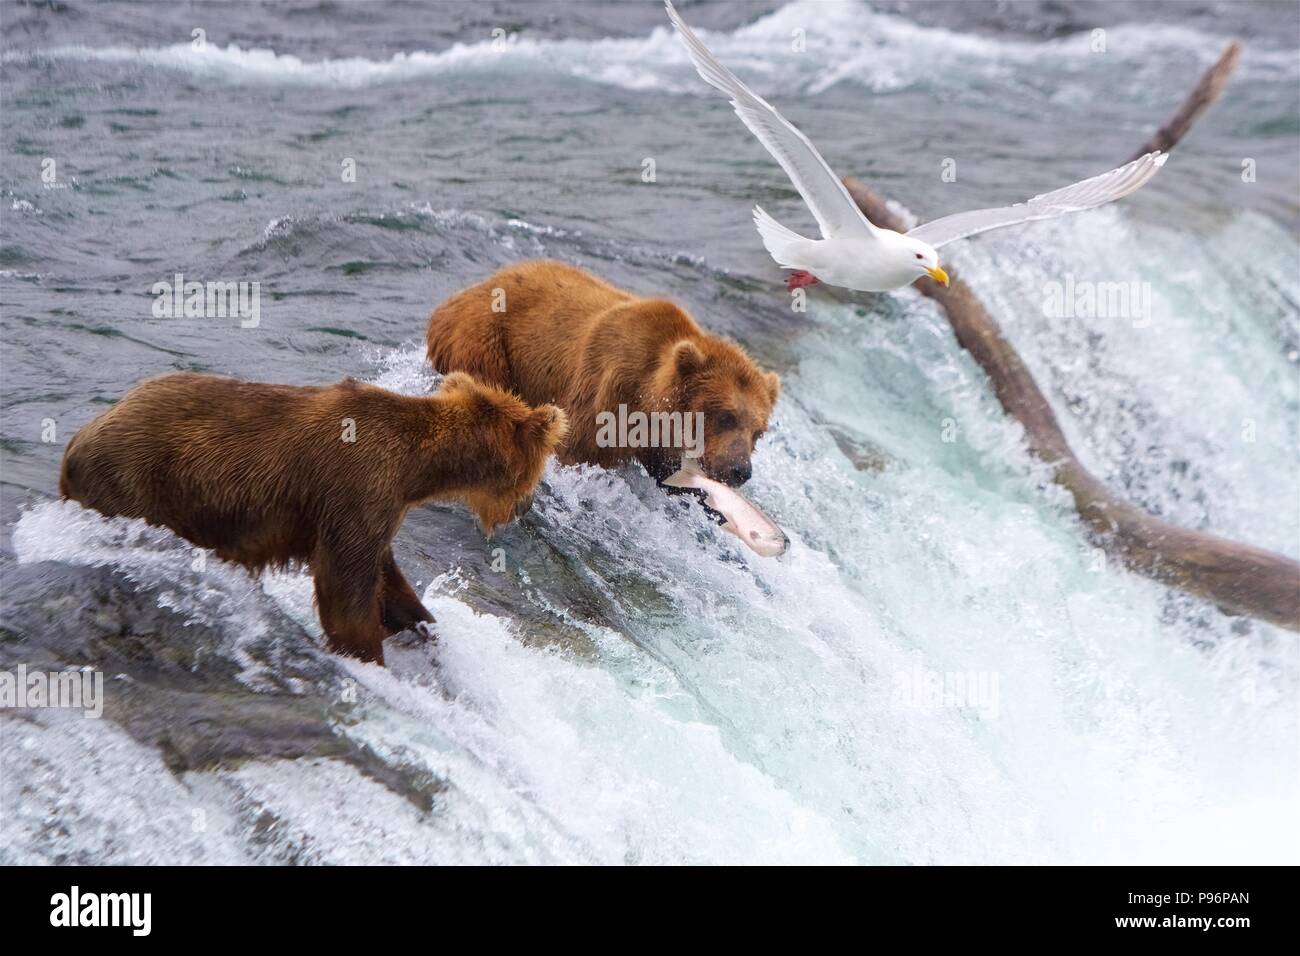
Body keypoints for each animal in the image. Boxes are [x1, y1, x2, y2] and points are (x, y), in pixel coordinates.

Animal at [59, 371, 567, 665]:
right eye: (541, 466)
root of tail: (77, 440)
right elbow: (346, 588)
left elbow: (386, 581)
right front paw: (365, 652)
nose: (526, 506)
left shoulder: (377, 510)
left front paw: (419, 623)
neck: (417, 469)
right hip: (135, 482)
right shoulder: (357, 488)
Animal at [426, 260, 779, 487]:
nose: (740, 470)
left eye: (758, 432)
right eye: (726, 416)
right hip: (487, 340)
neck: (646, 396)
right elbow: (576, 450)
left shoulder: (657, 440)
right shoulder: (606, 393)